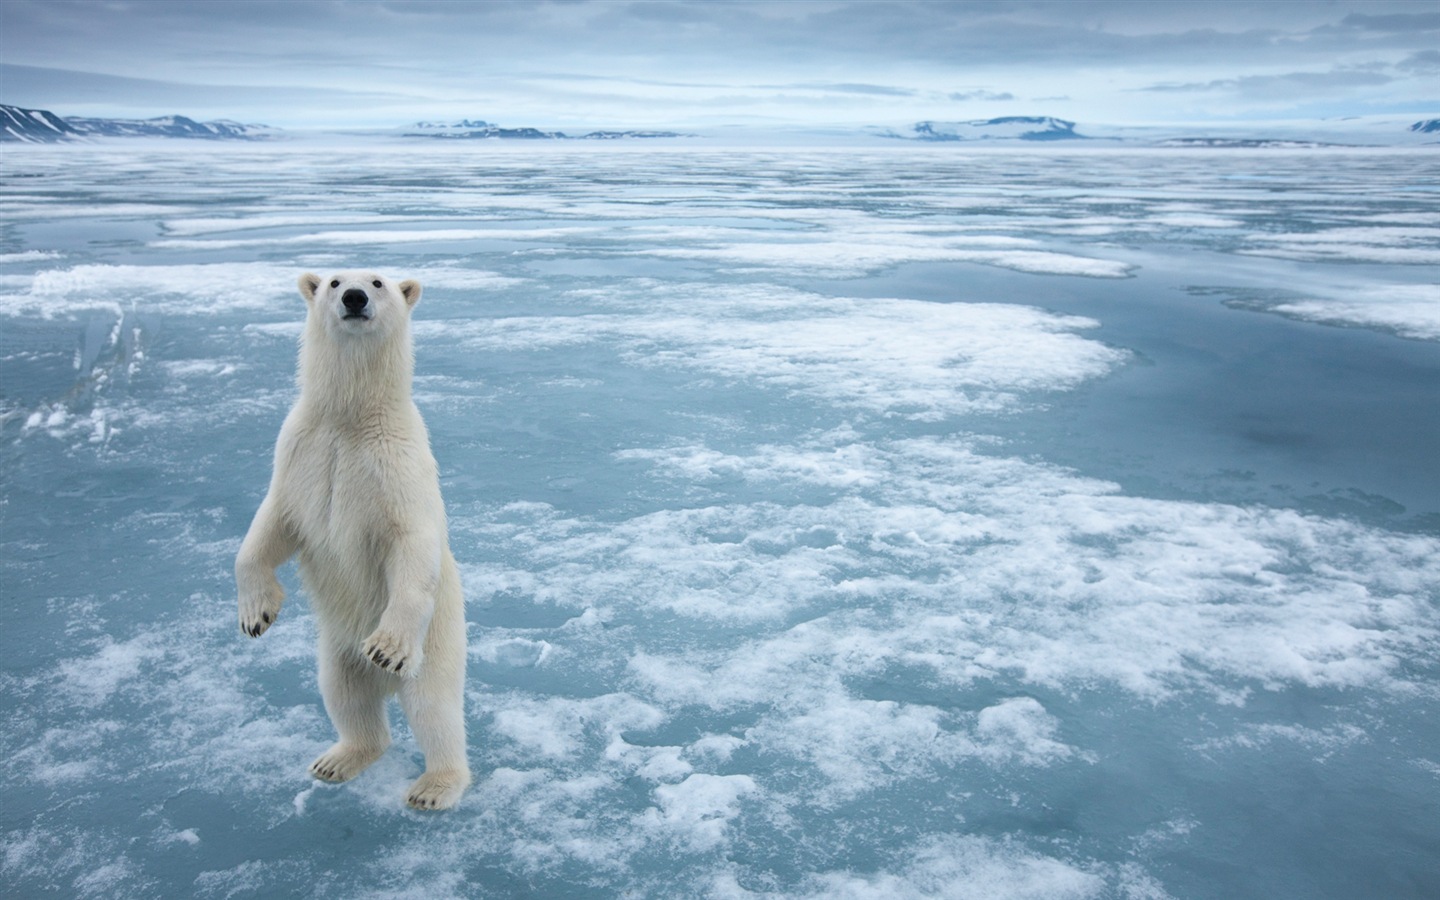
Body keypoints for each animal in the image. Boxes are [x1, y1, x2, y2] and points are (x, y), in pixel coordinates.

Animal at [236, 270, 469, 812]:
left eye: (379, 281)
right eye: (334, 280)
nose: (355, 298)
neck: (350, 418)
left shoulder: (397, 464)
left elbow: (411, 542)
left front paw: (386, 646)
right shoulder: (300, 451)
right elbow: (270, 526)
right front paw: (256, 614)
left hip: (438, 642)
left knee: (434, 709)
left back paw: (434, 786)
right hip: (336, 649)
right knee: (345, 696)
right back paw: (337, 759)